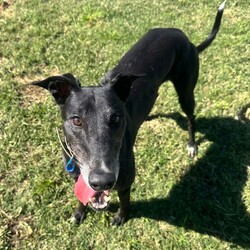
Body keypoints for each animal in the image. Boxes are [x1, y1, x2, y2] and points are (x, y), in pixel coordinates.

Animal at [31, 1, 227, 225]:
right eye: (76, 120)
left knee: (190, 117)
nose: (102, 181)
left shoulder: (125, 182)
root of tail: (187, 40)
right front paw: (80, 213)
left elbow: (124, 202)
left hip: (186, 90)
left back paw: (192, 145)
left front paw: (120, 218)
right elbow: (81, 197)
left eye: (116, 118)